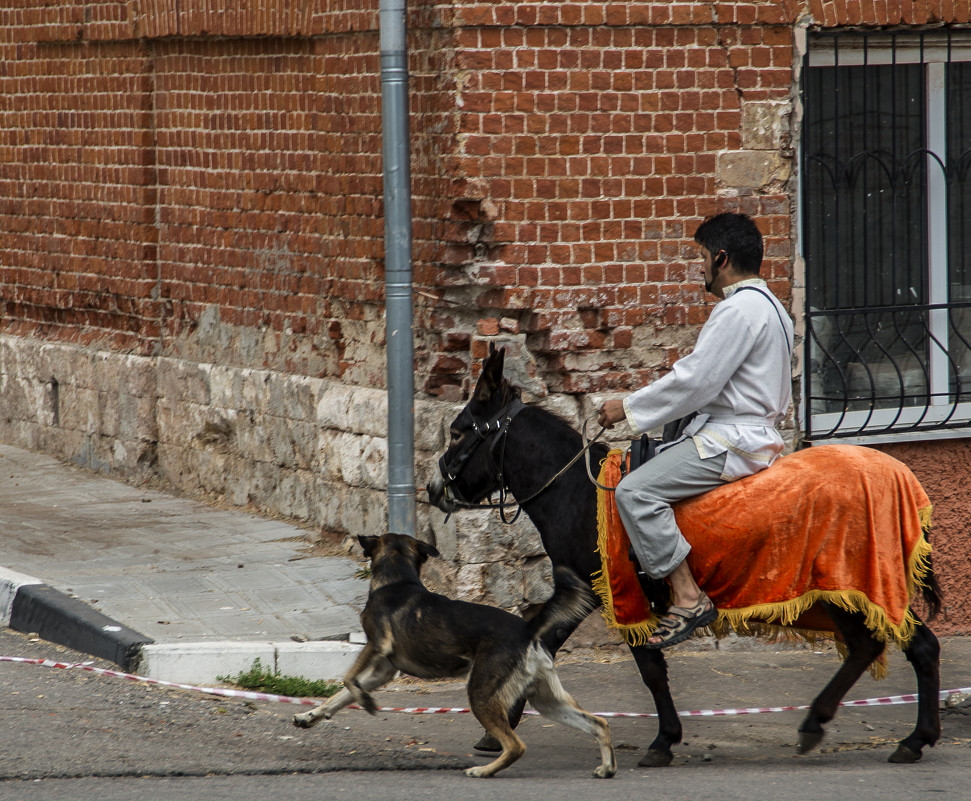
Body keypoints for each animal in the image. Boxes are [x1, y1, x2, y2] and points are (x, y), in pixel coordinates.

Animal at [292, 528, 620, 780]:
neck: (398, 579)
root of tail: (528, 629)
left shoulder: (375, 645)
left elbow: (348, 680)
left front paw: (365, 702)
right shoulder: (382, 670)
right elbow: (339, 695)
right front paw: (310, 715)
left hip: (481, 694)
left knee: (516, 746)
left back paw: (484, 771)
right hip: (546, 701)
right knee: (599, 723)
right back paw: (606, 768)